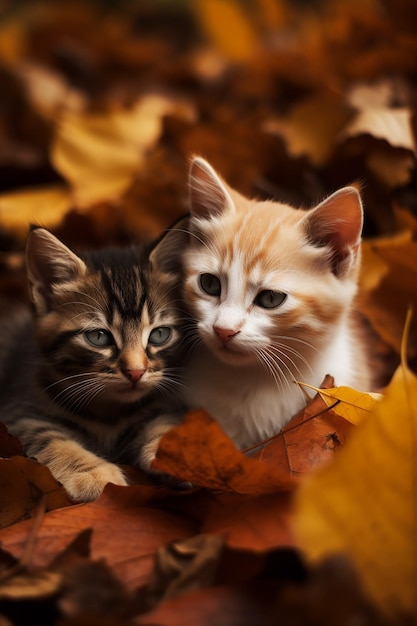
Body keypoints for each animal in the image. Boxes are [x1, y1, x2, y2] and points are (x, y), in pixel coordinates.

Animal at [0, 227, 185, 500]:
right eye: (98, 337)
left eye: (159, 334)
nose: (136, 372)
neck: (108, 411)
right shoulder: (17, 411)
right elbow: (48, 436)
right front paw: (92, 473)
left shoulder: (163, 403)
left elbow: (167, 420)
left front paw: (180, 454)